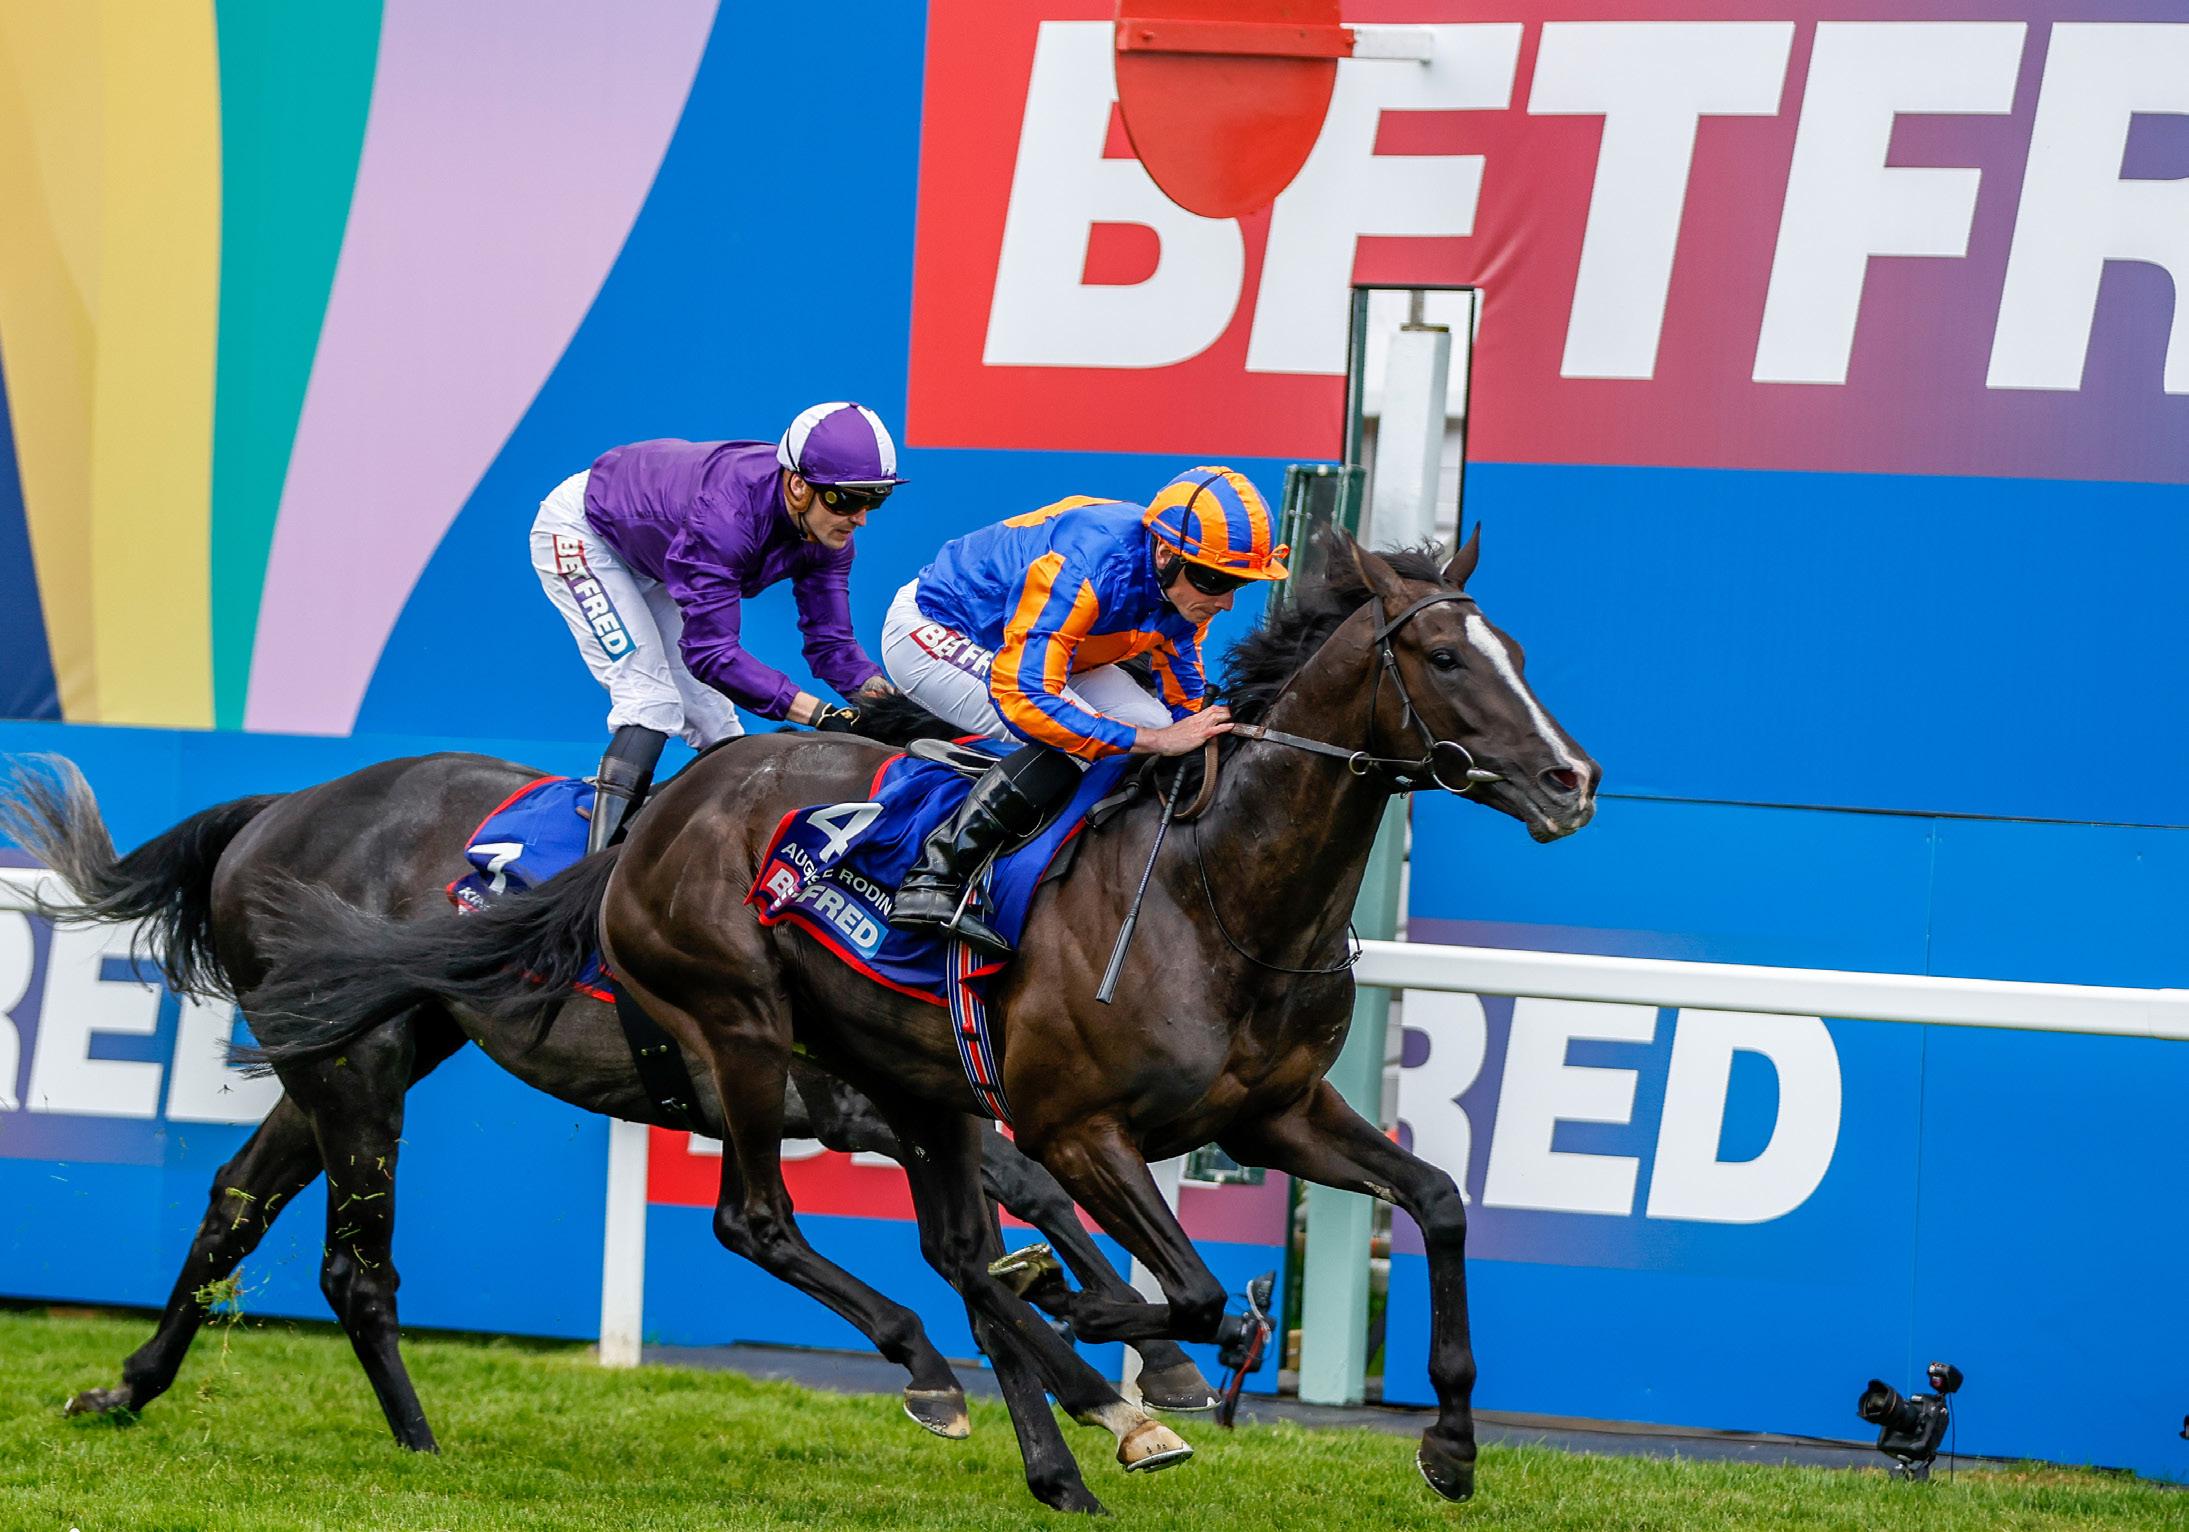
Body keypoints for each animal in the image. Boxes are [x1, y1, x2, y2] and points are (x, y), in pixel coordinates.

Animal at [0, 717, 1217, 1452]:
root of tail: (277, 808)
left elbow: (1029, 1191)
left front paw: (1143, 1367)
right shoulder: (834, 1096)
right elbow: (1006, 1203)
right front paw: (1102, 1373)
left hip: (340, 1050)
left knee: (233, 1205)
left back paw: (128, 1384)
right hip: (361, 1069)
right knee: (352, 1265)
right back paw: (419, 1441)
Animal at [248, 533, 1600, 1513]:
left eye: (1519, 648)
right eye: (1443, 657)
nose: (1571, 779)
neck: (1211, 891)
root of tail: (664, 811)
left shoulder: (1275, 1110)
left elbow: (1436, 1200)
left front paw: (1450, 1444)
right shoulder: (1076, 1125)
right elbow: (1192, 1286)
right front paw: (1122, 1330)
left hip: (907, 1078)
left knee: (947, 1247)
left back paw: (1049, 1445)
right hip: (727, 1027)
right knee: (757, 1218)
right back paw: (964, 1369)